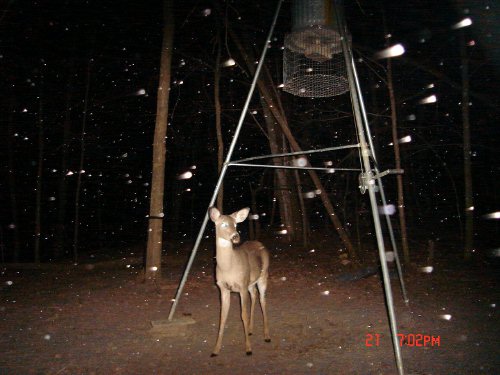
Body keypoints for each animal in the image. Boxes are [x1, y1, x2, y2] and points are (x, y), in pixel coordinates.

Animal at [209, 207, 272, 356]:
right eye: (223, 224)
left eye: (236, 224)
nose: (235, 236)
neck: (228, 268)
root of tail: (260, 243)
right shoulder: (223, 288)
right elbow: (222, 316)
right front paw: (215, 349)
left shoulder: (241, 286)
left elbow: (243, 314)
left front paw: (248, 349)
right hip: (250, 282)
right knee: (254, 295)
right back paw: (250, 330)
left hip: (263, 276)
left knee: (263, 300)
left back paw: (266, 336)